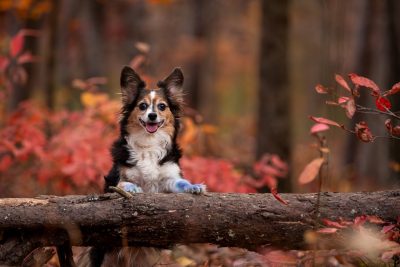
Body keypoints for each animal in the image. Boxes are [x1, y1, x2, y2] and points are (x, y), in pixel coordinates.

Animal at [77, 67, 206, 267]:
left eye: (162, 106)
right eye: (142, 106)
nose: (152, 116)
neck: (149, 143)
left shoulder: (168, 180)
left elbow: (181, 183)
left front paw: (194, 187)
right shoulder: (117, 179)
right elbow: (122, 184)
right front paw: (133, 188)